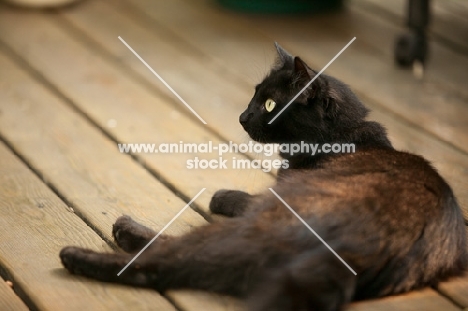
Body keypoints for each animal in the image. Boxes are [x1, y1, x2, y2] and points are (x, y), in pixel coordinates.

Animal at [60, 42, 466, 310]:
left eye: (270, 104)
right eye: (254, 96)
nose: (241, 117)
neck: (341, 136)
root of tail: (356, 250)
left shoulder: (279, 191)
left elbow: (242, 197)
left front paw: (221, 196)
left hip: (264, 221)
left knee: (173, 259)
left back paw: (89, 248)